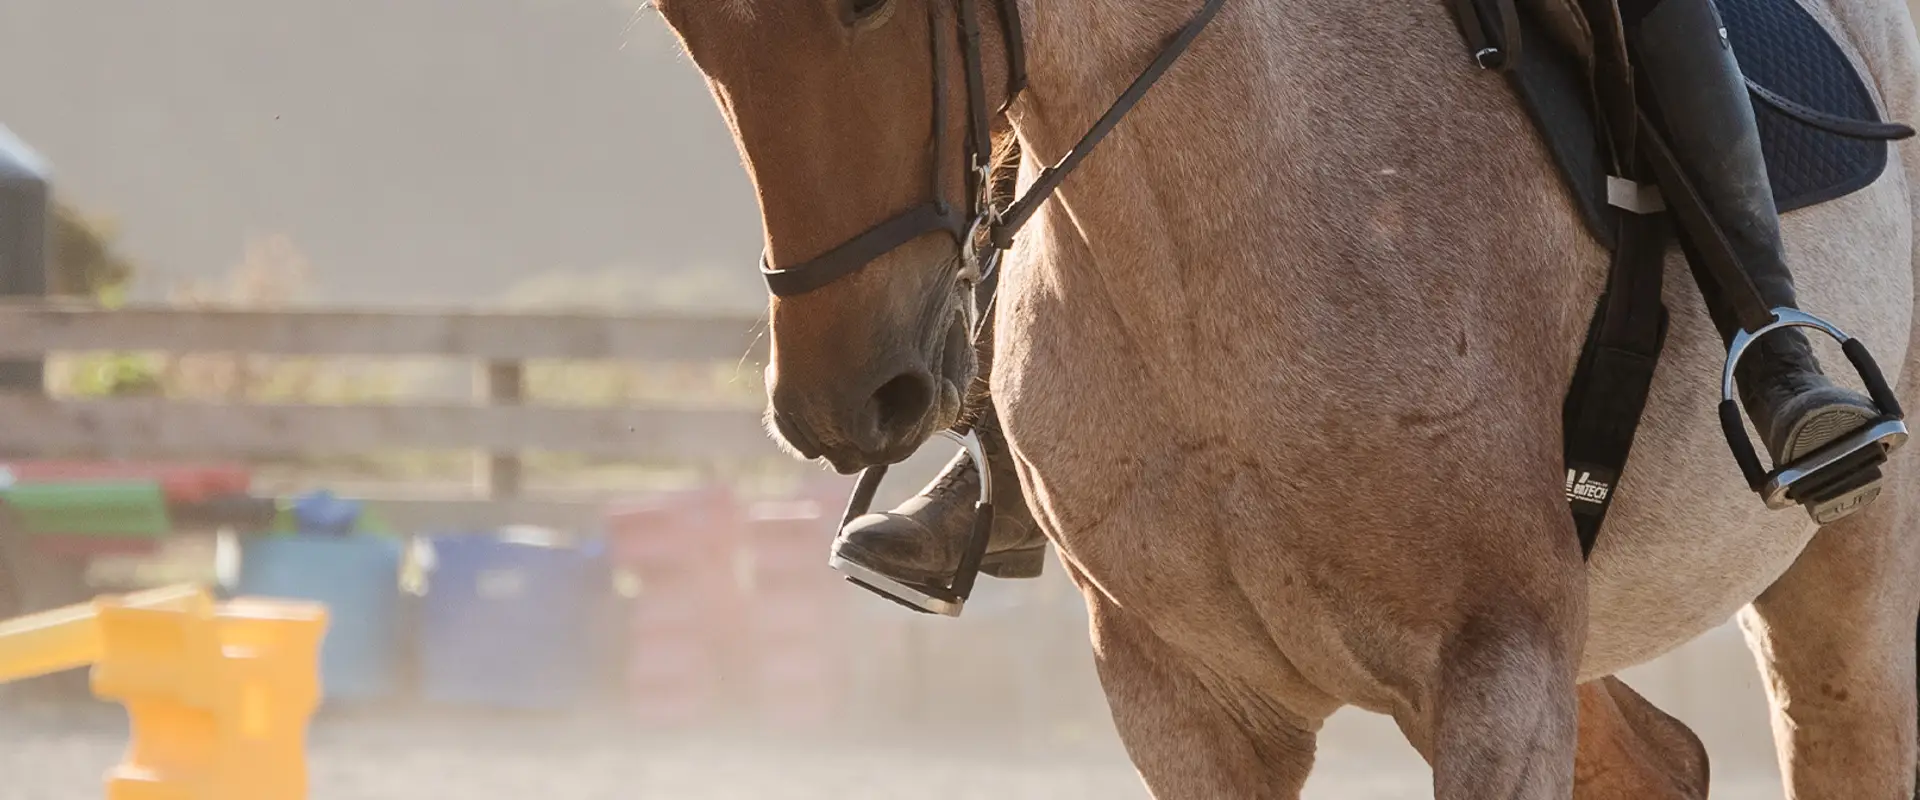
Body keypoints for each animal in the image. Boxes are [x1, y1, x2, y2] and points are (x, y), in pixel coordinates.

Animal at [651, 0, 1920, 795]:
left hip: (1841, 584)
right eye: (680, 20)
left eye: (868, 4)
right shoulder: (1186, 695)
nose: (843, 399)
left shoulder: (1498, 664)